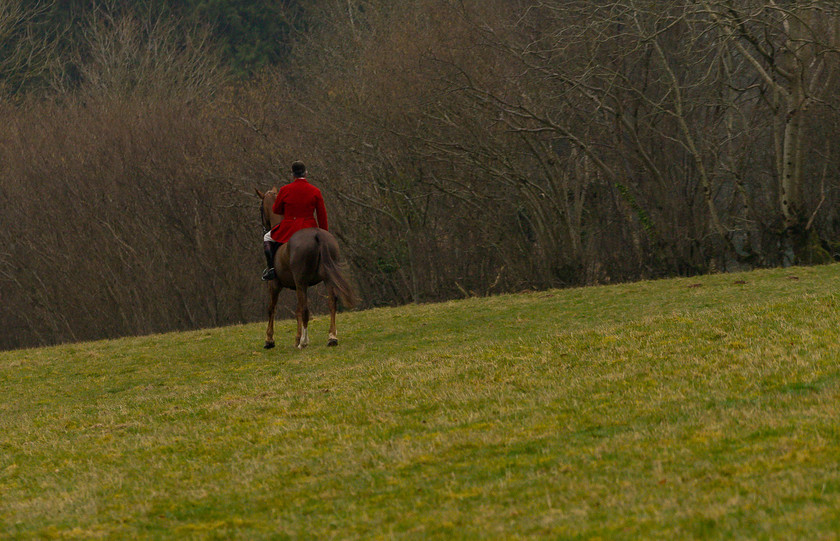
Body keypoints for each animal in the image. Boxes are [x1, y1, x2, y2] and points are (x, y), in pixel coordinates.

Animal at [256, 188, 354, 348]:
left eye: (260, 208)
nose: (265, 228)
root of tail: (317, 234)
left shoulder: (275, 284)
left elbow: (272, 309)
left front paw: (269, 340)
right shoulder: (297, 286)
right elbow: (297, 311)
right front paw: (296, 338)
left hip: (300, 281)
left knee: (305, 309)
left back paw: (304, 341)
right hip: (325, 278)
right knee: (331, 303)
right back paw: (332, 337)